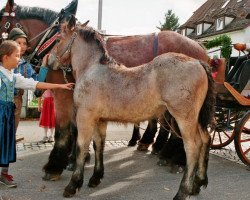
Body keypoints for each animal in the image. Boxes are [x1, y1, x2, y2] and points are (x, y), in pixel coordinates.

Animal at [48, 16, 215, 200]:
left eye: (58, 39)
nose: (48, 60)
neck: (92, 69)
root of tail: (198, 62)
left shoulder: (85, 117)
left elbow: (81, 147)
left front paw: (73, 185)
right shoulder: (100, 120)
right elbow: (99, 145)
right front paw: (96, 178)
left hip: (184, 118)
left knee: (192, 147)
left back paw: (182, 191)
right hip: (196, 118)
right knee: (205, 140)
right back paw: (198, 184)